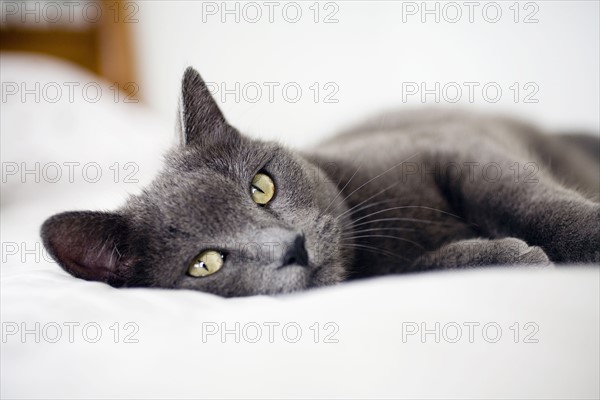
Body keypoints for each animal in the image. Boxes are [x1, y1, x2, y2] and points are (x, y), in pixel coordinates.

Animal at [39, 67, 596, 296]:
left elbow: (529, 202)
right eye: (205, 263)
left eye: (261, 187)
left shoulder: (457, 148)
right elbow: (422, 267)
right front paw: (510, 256)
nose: (293, 247)